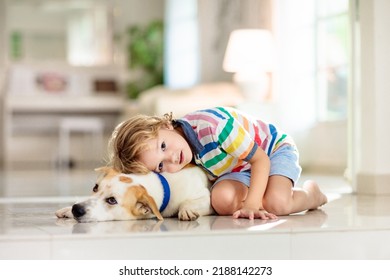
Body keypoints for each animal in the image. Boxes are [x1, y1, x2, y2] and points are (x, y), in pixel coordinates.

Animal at [54, 164, 213, 223]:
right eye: (95, 187)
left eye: (112, 200)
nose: (76, 209)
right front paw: (67, 209)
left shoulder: (206, 199)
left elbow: (190, 201)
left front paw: (186, 209)